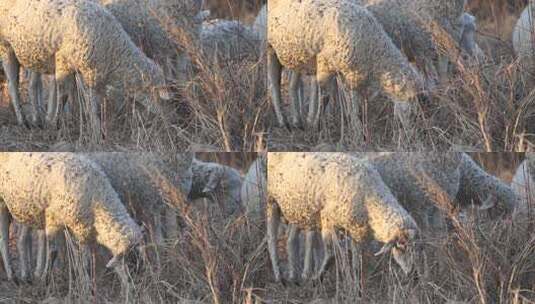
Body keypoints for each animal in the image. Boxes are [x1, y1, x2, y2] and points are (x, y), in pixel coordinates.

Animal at [0, 0, 170, 140]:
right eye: (157, 94)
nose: (167, 118)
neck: (113, 50)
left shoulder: (85, 72)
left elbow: (84, 99)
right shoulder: (64, 62)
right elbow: (66, 96)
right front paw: (59, 124)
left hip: (35, 54)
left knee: (33, 84)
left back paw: (37, 118)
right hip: (6, 46)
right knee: (13, 85)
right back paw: (23, 120)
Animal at [0, 154, 142, 294]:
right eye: (127, 259)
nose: (132, 289)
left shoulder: (82, 231)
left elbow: (84, 261)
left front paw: (87, 287)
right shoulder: (53, 219)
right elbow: (54, 252)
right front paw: (45, 281)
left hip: (26, 210)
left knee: (22, 239)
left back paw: (26, 276)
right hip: (3, 204)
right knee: (4, 239)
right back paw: (12, 276)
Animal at [266, 153, 418, 284]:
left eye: (414, 247)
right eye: (400, 247)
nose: (412, 273)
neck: (369, 198)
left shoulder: (356, 231)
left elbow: (357, 263)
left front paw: (357, 287)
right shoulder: (328, 220)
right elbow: (331, 254)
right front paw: (317, 278)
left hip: (297, 211)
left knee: (291, 239)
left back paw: (295, 276)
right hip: (272, 201)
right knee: (271, 239)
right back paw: (279, 277)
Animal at [270, 0, 426, 132]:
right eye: (414, 113)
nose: (412, 135)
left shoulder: (351, 73)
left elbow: (353, 103)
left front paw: (356, 128)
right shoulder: (325, 64)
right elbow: (325, 98)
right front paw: (316, 125)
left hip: (296, 54)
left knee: (293, 83)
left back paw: (297, 120)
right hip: (270, 47)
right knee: (274, 83)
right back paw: (283, 121)